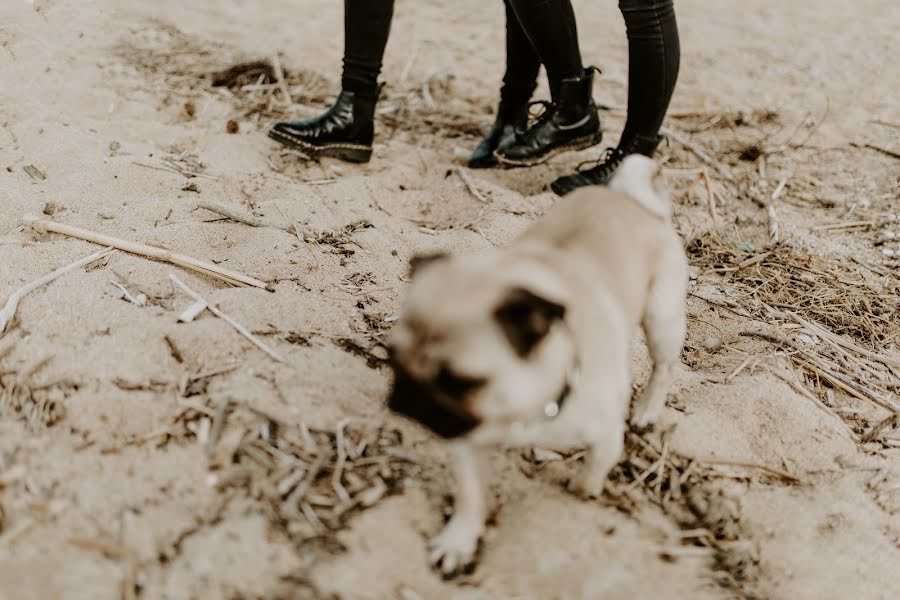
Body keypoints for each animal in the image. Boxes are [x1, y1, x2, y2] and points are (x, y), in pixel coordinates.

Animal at [384, 156, 684, 576]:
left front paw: (583, 492)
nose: (408, 400)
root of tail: (635, 203)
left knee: (664, 368)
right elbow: (470, 496)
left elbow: (592, 471)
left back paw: (647, 409)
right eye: (391, 358)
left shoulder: (605, 437)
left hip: (662, 319)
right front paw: (459, 540)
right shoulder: (468, 442)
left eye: (461, 381)